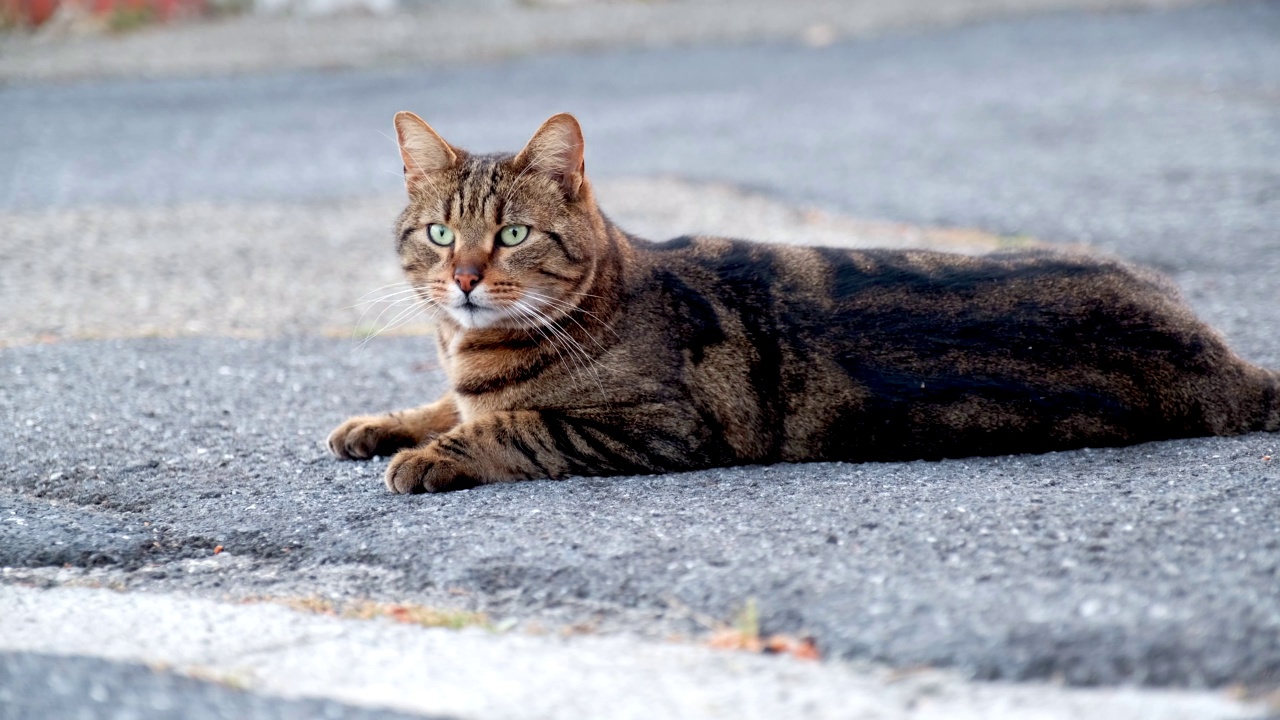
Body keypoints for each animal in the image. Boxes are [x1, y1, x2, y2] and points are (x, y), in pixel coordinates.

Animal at [327, 112, 1280, 489]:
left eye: (514, 235)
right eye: (441, 234)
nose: (463, 279)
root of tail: (1221, 354)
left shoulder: (657, 426)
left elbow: (515, 425)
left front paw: (432, 452)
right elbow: (442, 404)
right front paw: (379, 423)